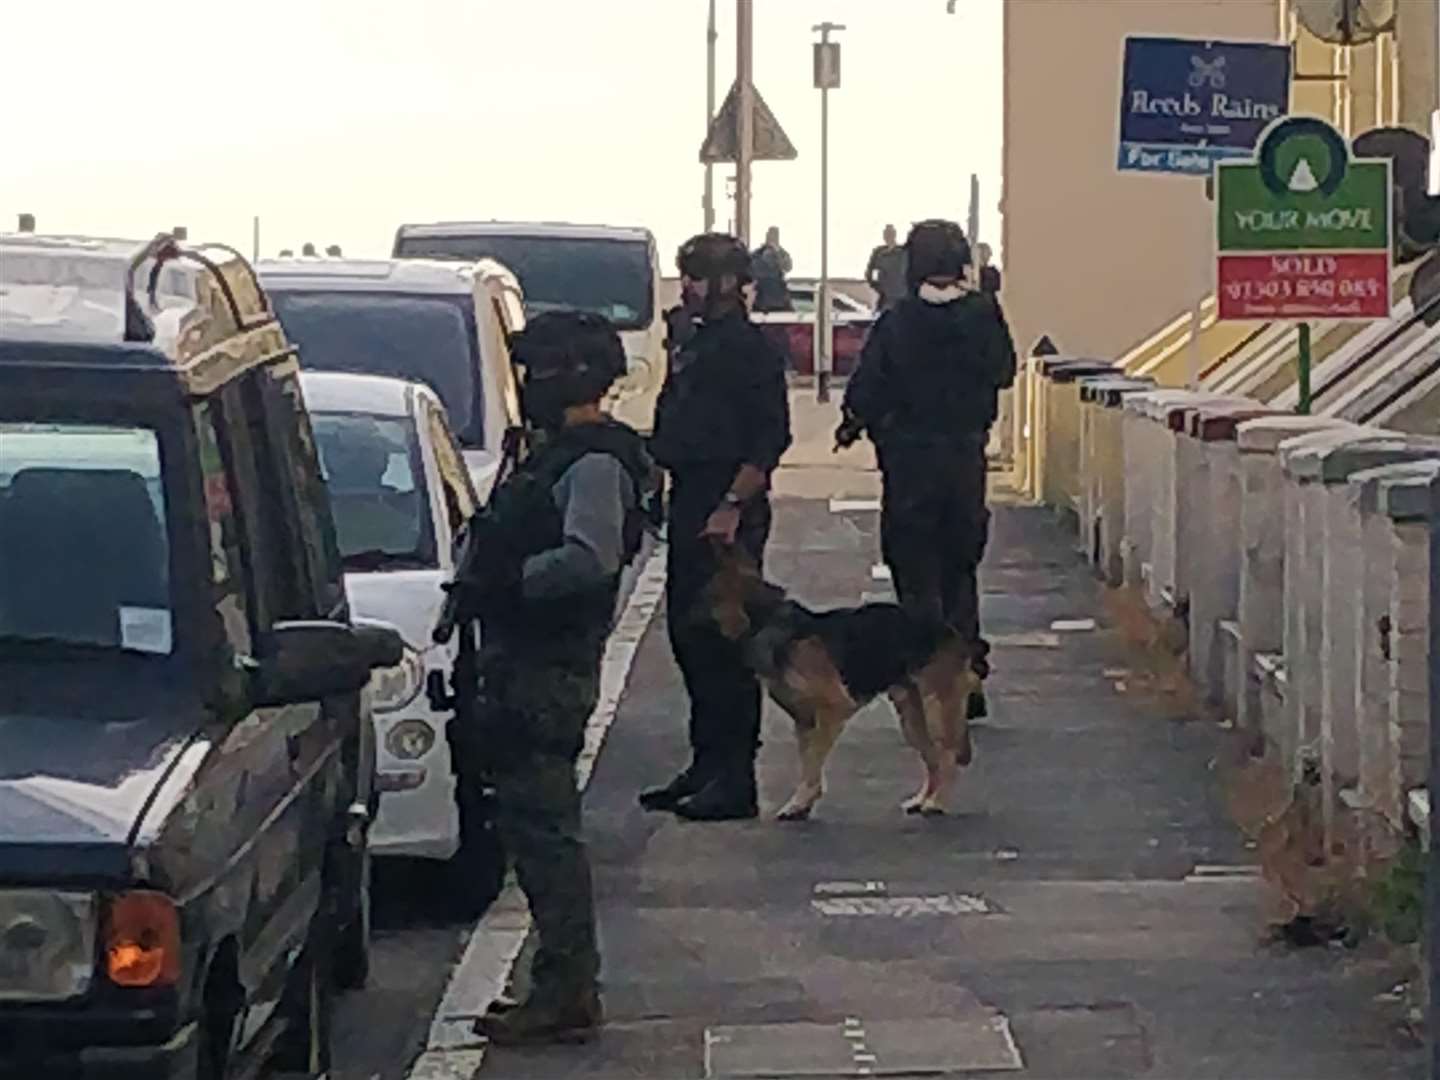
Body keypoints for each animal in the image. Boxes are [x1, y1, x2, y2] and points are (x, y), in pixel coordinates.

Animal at [699, 550, 979, 817]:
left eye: (709, 597)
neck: (769, 623)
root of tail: (951, 632)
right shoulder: (804, 721)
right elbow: (808, 763)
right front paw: (801, 804)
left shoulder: (833, 708)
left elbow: (813, 759)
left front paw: (801, 801)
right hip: (912, 718)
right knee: (933, 760)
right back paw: (922, 800)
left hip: (935, 710)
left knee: (947, 756)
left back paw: (937, 802)